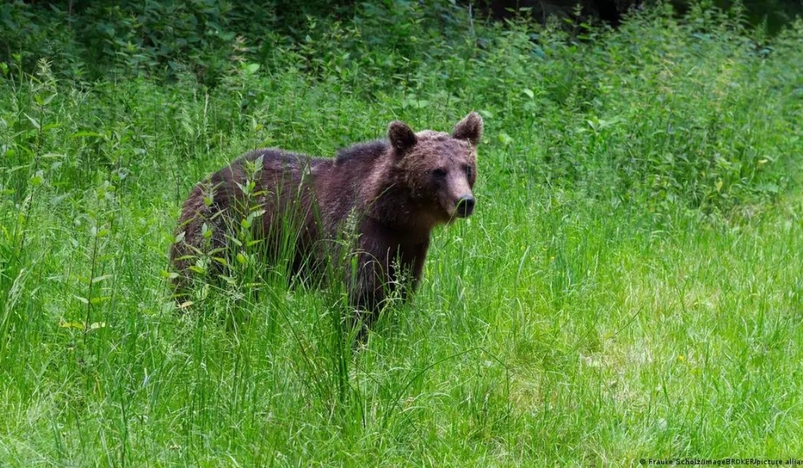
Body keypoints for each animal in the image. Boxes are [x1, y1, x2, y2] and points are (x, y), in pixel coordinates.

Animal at [170, 110, 484, 330]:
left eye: (467, 167)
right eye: (437, 171)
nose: (464, 202)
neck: (396, 215)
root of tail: (206, 179)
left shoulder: (409, 246)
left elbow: (399, 291)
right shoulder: (355, 231)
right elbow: (357, 293)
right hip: (220, 229)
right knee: (196, 278)